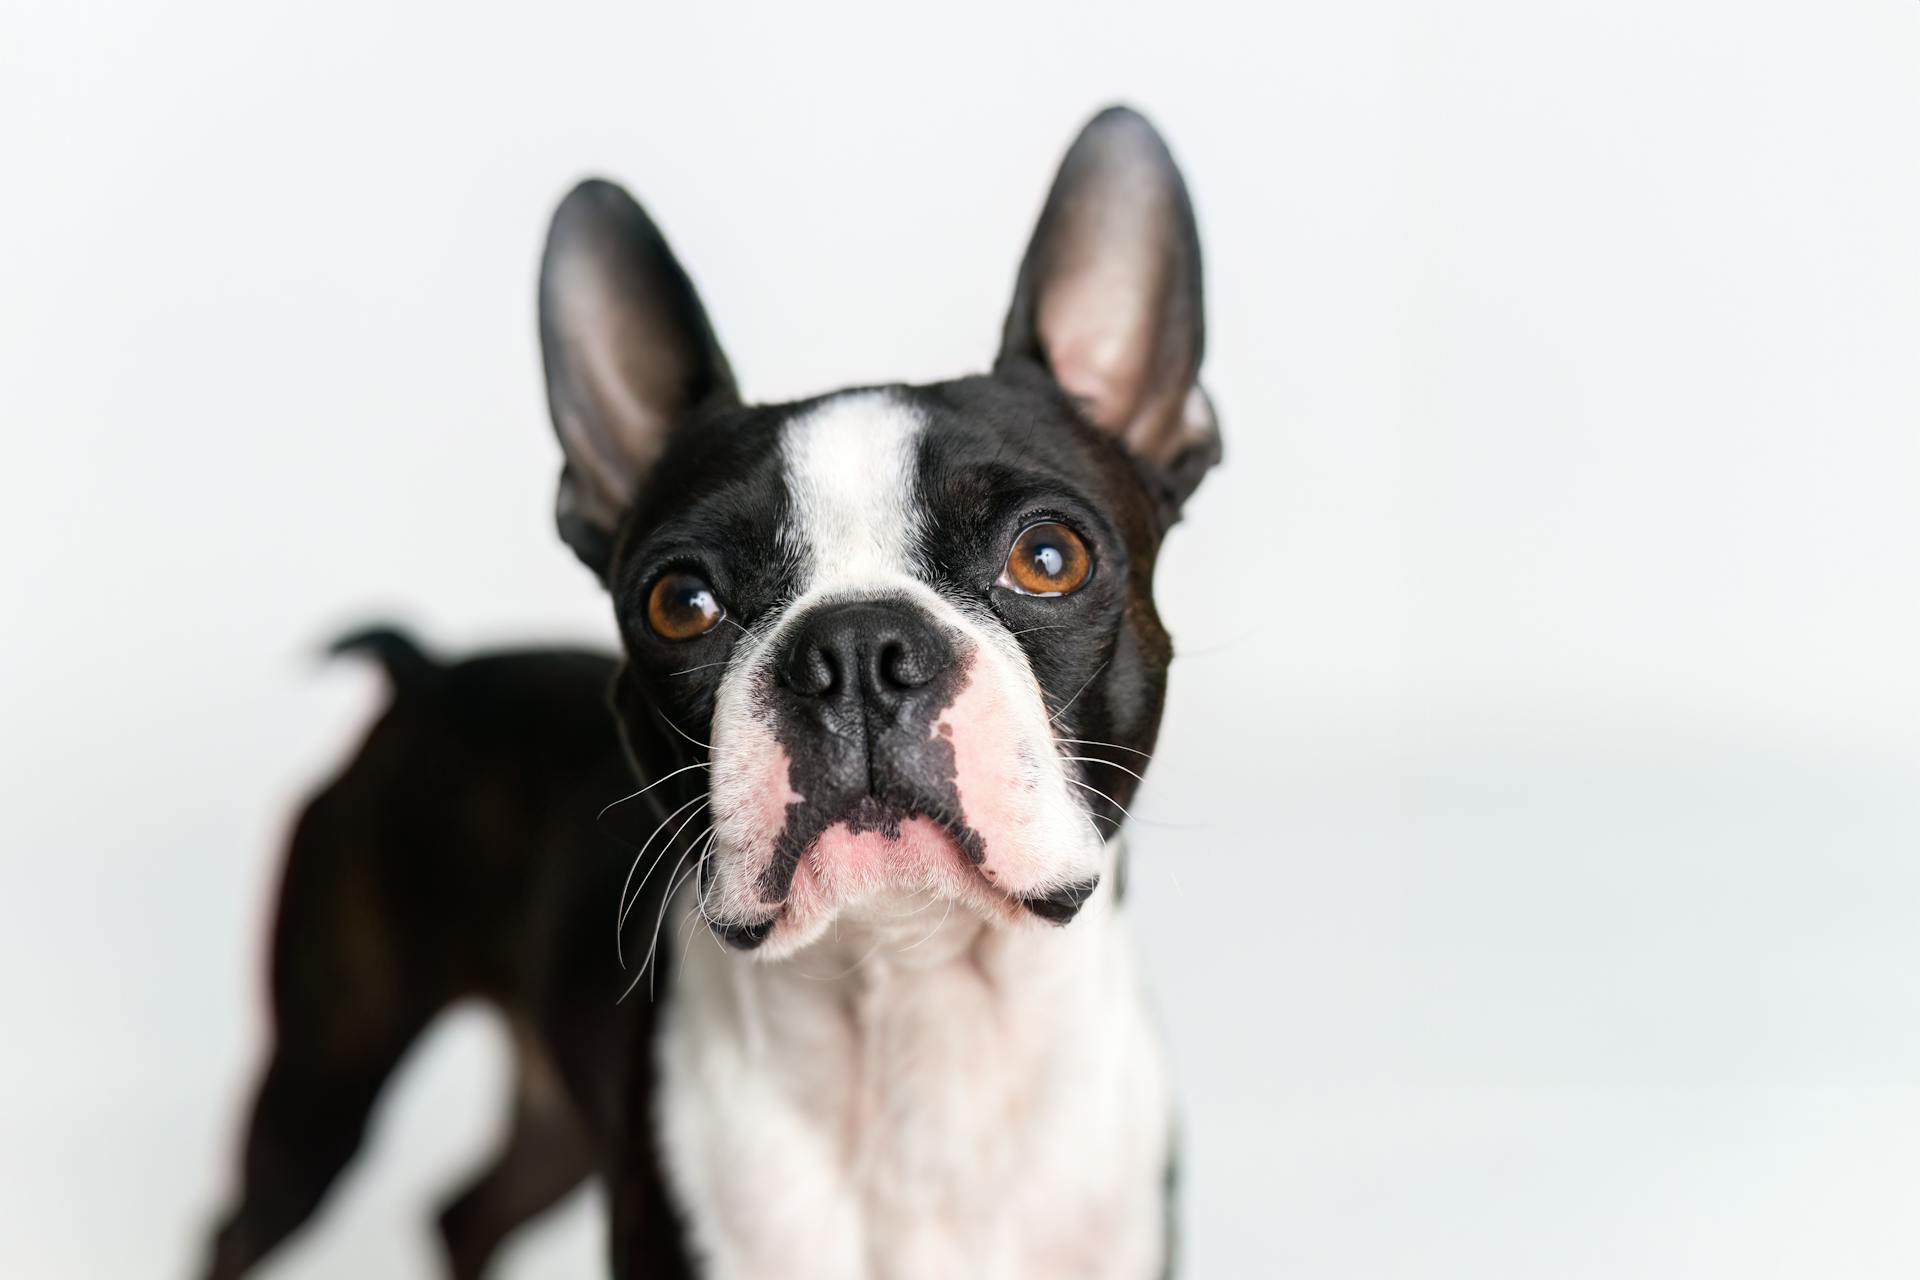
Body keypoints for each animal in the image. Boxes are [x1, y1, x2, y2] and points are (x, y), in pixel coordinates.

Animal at [206, 110, 1213, 1280]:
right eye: (679, 601)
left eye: (1048, 558)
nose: (857, 647)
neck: (915, 1011)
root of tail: (426, 672)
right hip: (325, 1076)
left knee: (466, 1209)